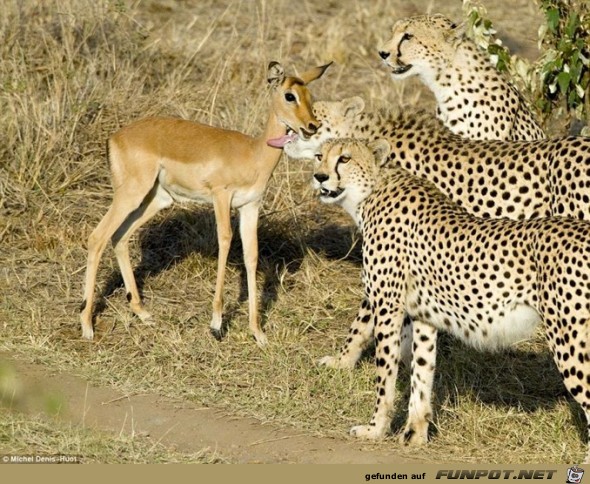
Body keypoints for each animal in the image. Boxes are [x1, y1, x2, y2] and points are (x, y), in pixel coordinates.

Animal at [312, 137, 588, 462]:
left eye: (345, 158)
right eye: (319, 155)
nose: (320, 177)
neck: (372, 191)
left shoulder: (389, 308)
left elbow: (386, 373)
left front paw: (375, 429)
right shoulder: (423, 316)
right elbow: (422, 371)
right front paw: (415, 433)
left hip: (568, 338)